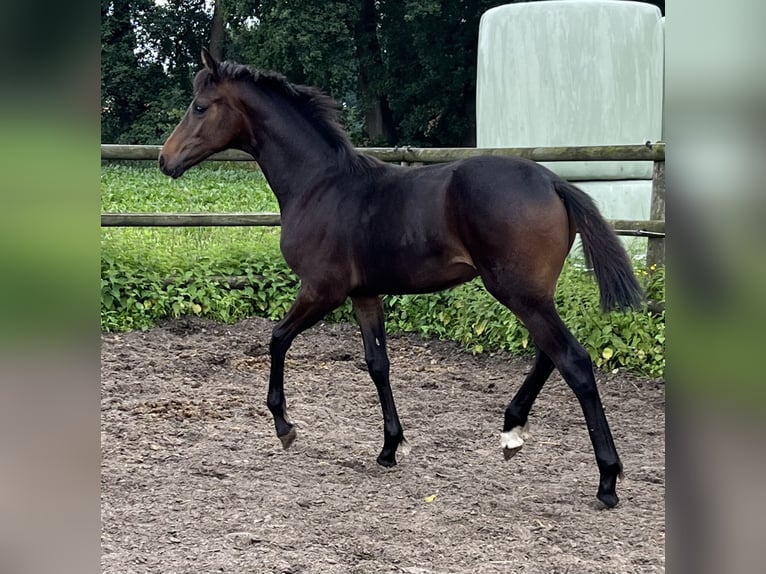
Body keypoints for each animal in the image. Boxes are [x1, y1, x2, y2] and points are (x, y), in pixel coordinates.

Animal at [159, 50, 644, 508]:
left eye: (199, 106)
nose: (165, 160)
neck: (319, 185)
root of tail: (553, 182)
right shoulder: (364, 294)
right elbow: (378, 364)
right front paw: (390, 447)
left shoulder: (322, 290)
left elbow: (277, 339)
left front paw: (284, 426)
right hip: (534, 294)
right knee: (550, 355)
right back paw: (511, 431)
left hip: (518, 293)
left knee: (573, 361)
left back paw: (606, 479)